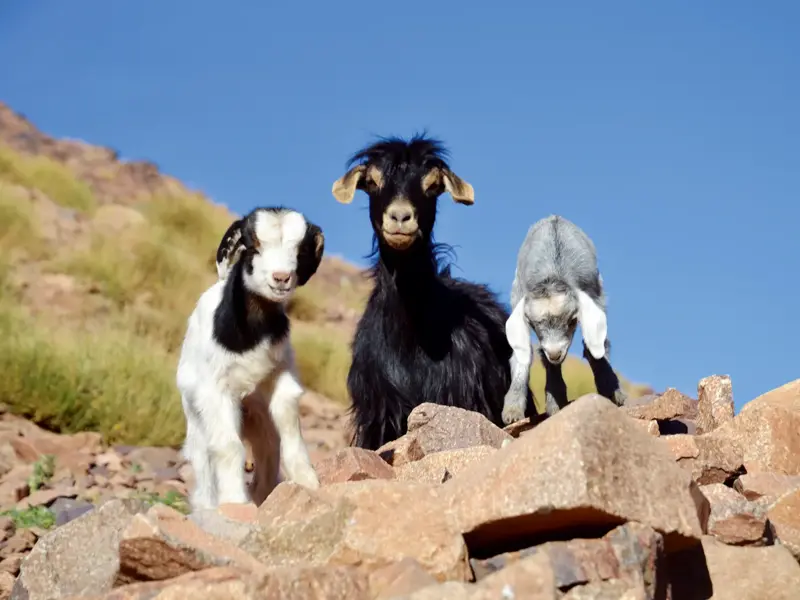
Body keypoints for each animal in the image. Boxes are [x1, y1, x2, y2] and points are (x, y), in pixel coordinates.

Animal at [176, 206, 324, 511]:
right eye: (252, 245)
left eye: (300, 249)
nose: (281, 277)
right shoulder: (215, 392)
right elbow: (229, 447)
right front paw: (235, 501)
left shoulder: (281, 378)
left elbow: (290, 435)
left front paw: (308, 482)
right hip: (196, 419)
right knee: (204, 461)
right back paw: (209, 506)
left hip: (258, 420)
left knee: (267, 452)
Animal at [501, 214, 627, 422]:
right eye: (534, 324)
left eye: (571, 321)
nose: (555, 353)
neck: (553, 273)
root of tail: (554, 217)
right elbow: (526, 354)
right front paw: (513, 410)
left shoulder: (594, 294)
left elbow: (596, 347)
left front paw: (612, 391)